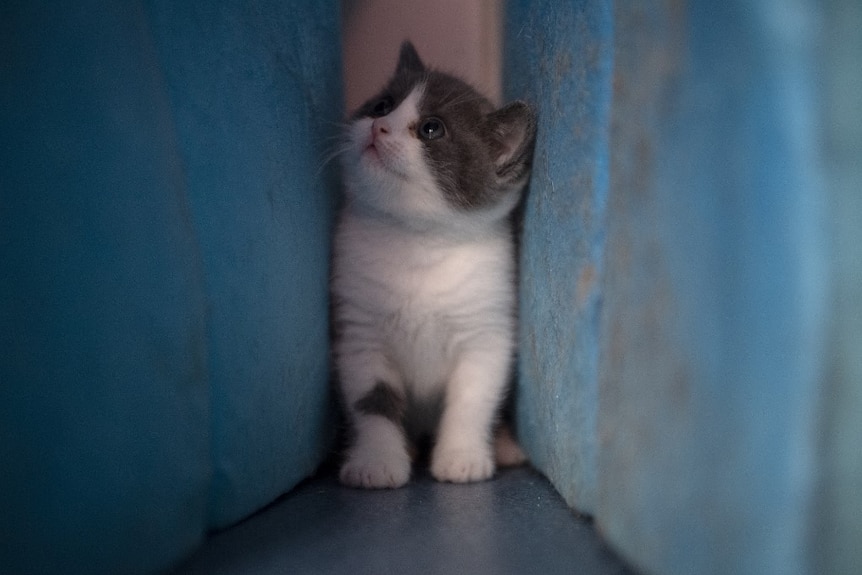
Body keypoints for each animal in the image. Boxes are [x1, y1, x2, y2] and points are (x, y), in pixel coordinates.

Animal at [330, 41, 532, 490]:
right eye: (382, 105)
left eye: (431, 129)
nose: (378, 127)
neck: (417, 244)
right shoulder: (360, 332)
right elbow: (373, 400)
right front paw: (378, 461)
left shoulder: (486, 332)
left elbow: (472, 400)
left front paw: (463, 457)